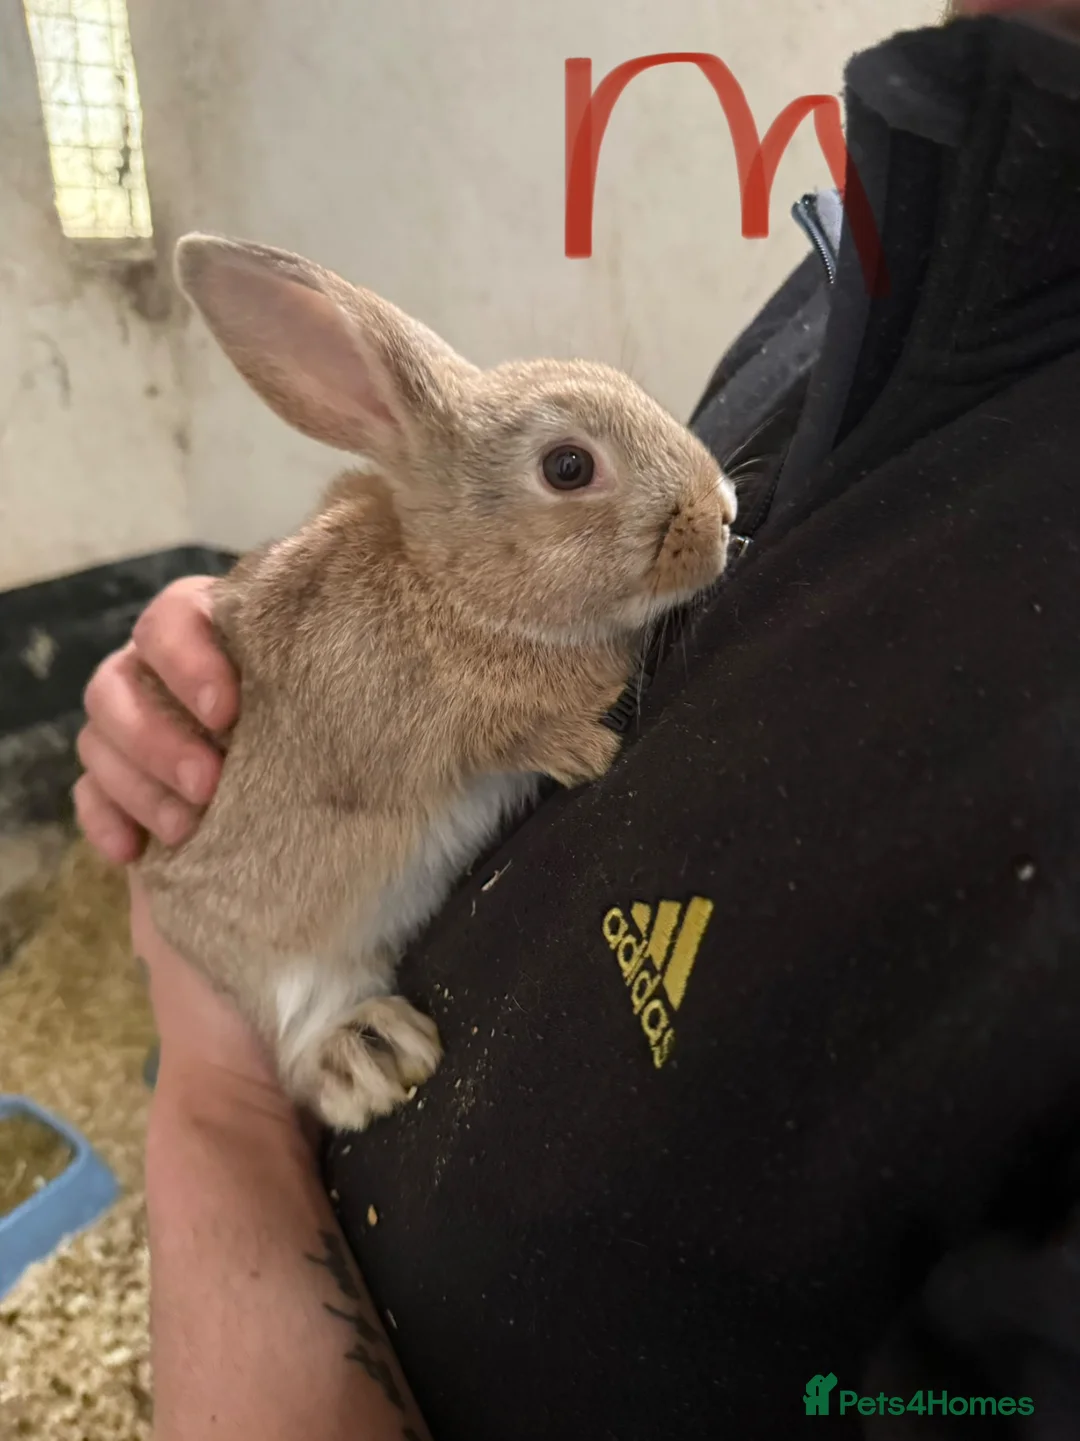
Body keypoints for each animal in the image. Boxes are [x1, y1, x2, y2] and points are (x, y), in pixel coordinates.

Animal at [135, 232, 737, 1132]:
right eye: (568, 466)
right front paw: (586, 749)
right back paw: (372, 1054)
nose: (721, 513)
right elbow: (493, 741)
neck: (455, 591)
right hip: (279, 950)